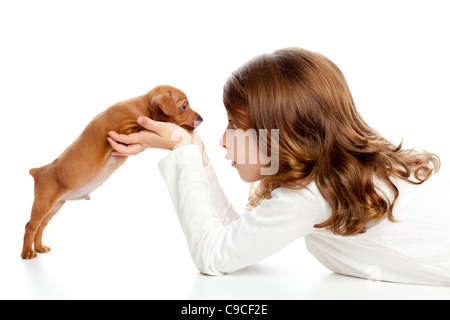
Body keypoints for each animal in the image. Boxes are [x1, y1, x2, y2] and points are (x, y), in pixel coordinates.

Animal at [22, 84, 201, 258]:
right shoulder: (124, 130)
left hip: (55, 205)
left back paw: (39, 247)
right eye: (184, 107)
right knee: (30, 226)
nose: (201, 119)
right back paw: (28, 252)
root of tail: (38, 171)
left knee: (41, 226)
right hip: (44, 203)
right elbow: (141, 127)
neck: (141, 107)